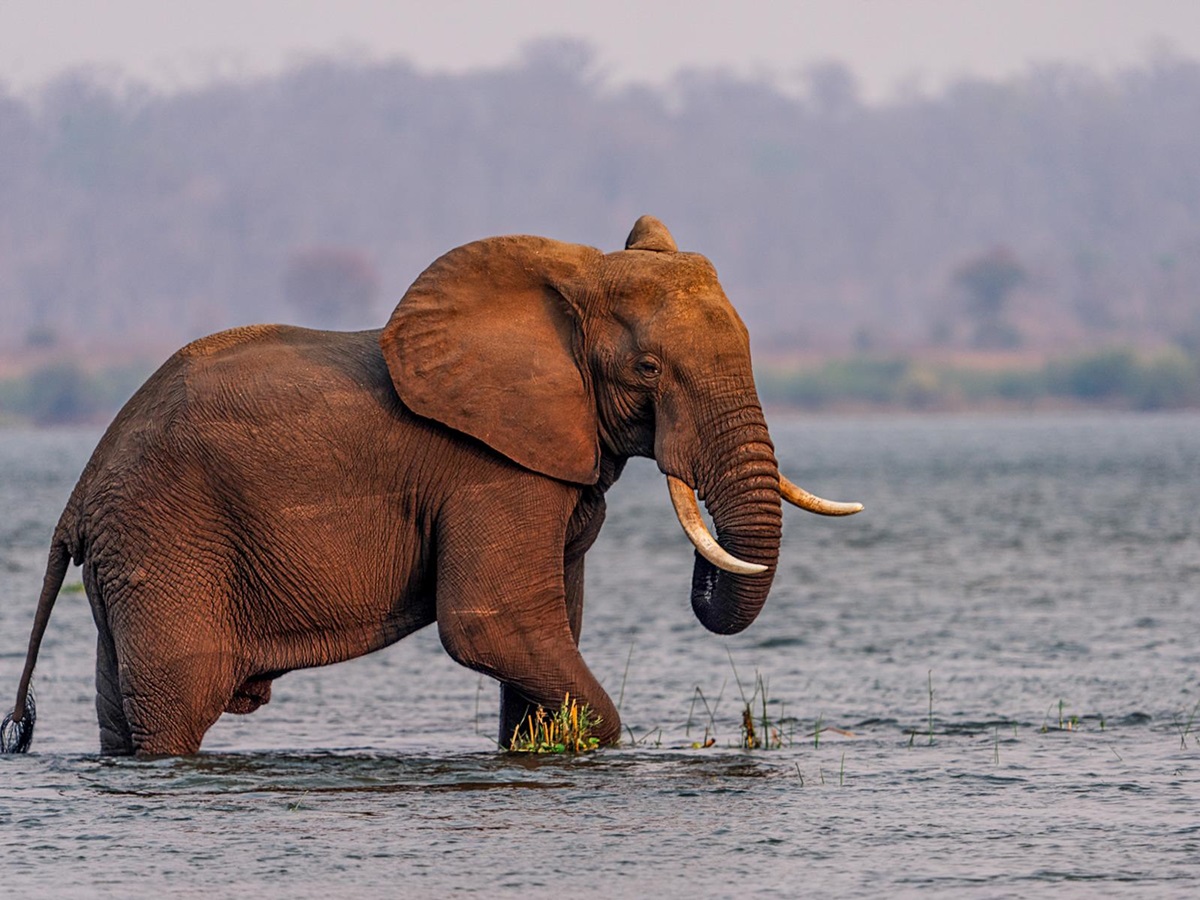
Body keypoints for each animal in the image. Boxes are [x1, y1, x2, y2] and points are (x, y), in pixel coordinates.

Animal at [2, 216, 861, 757]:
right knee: (177, 703)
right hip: (168, 546)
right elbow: (493, 624)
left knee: (120, 713)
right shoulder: (490, 471)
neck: (576, 275)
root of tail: (79, 493)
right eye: (648, 370)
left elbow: (549, 635)